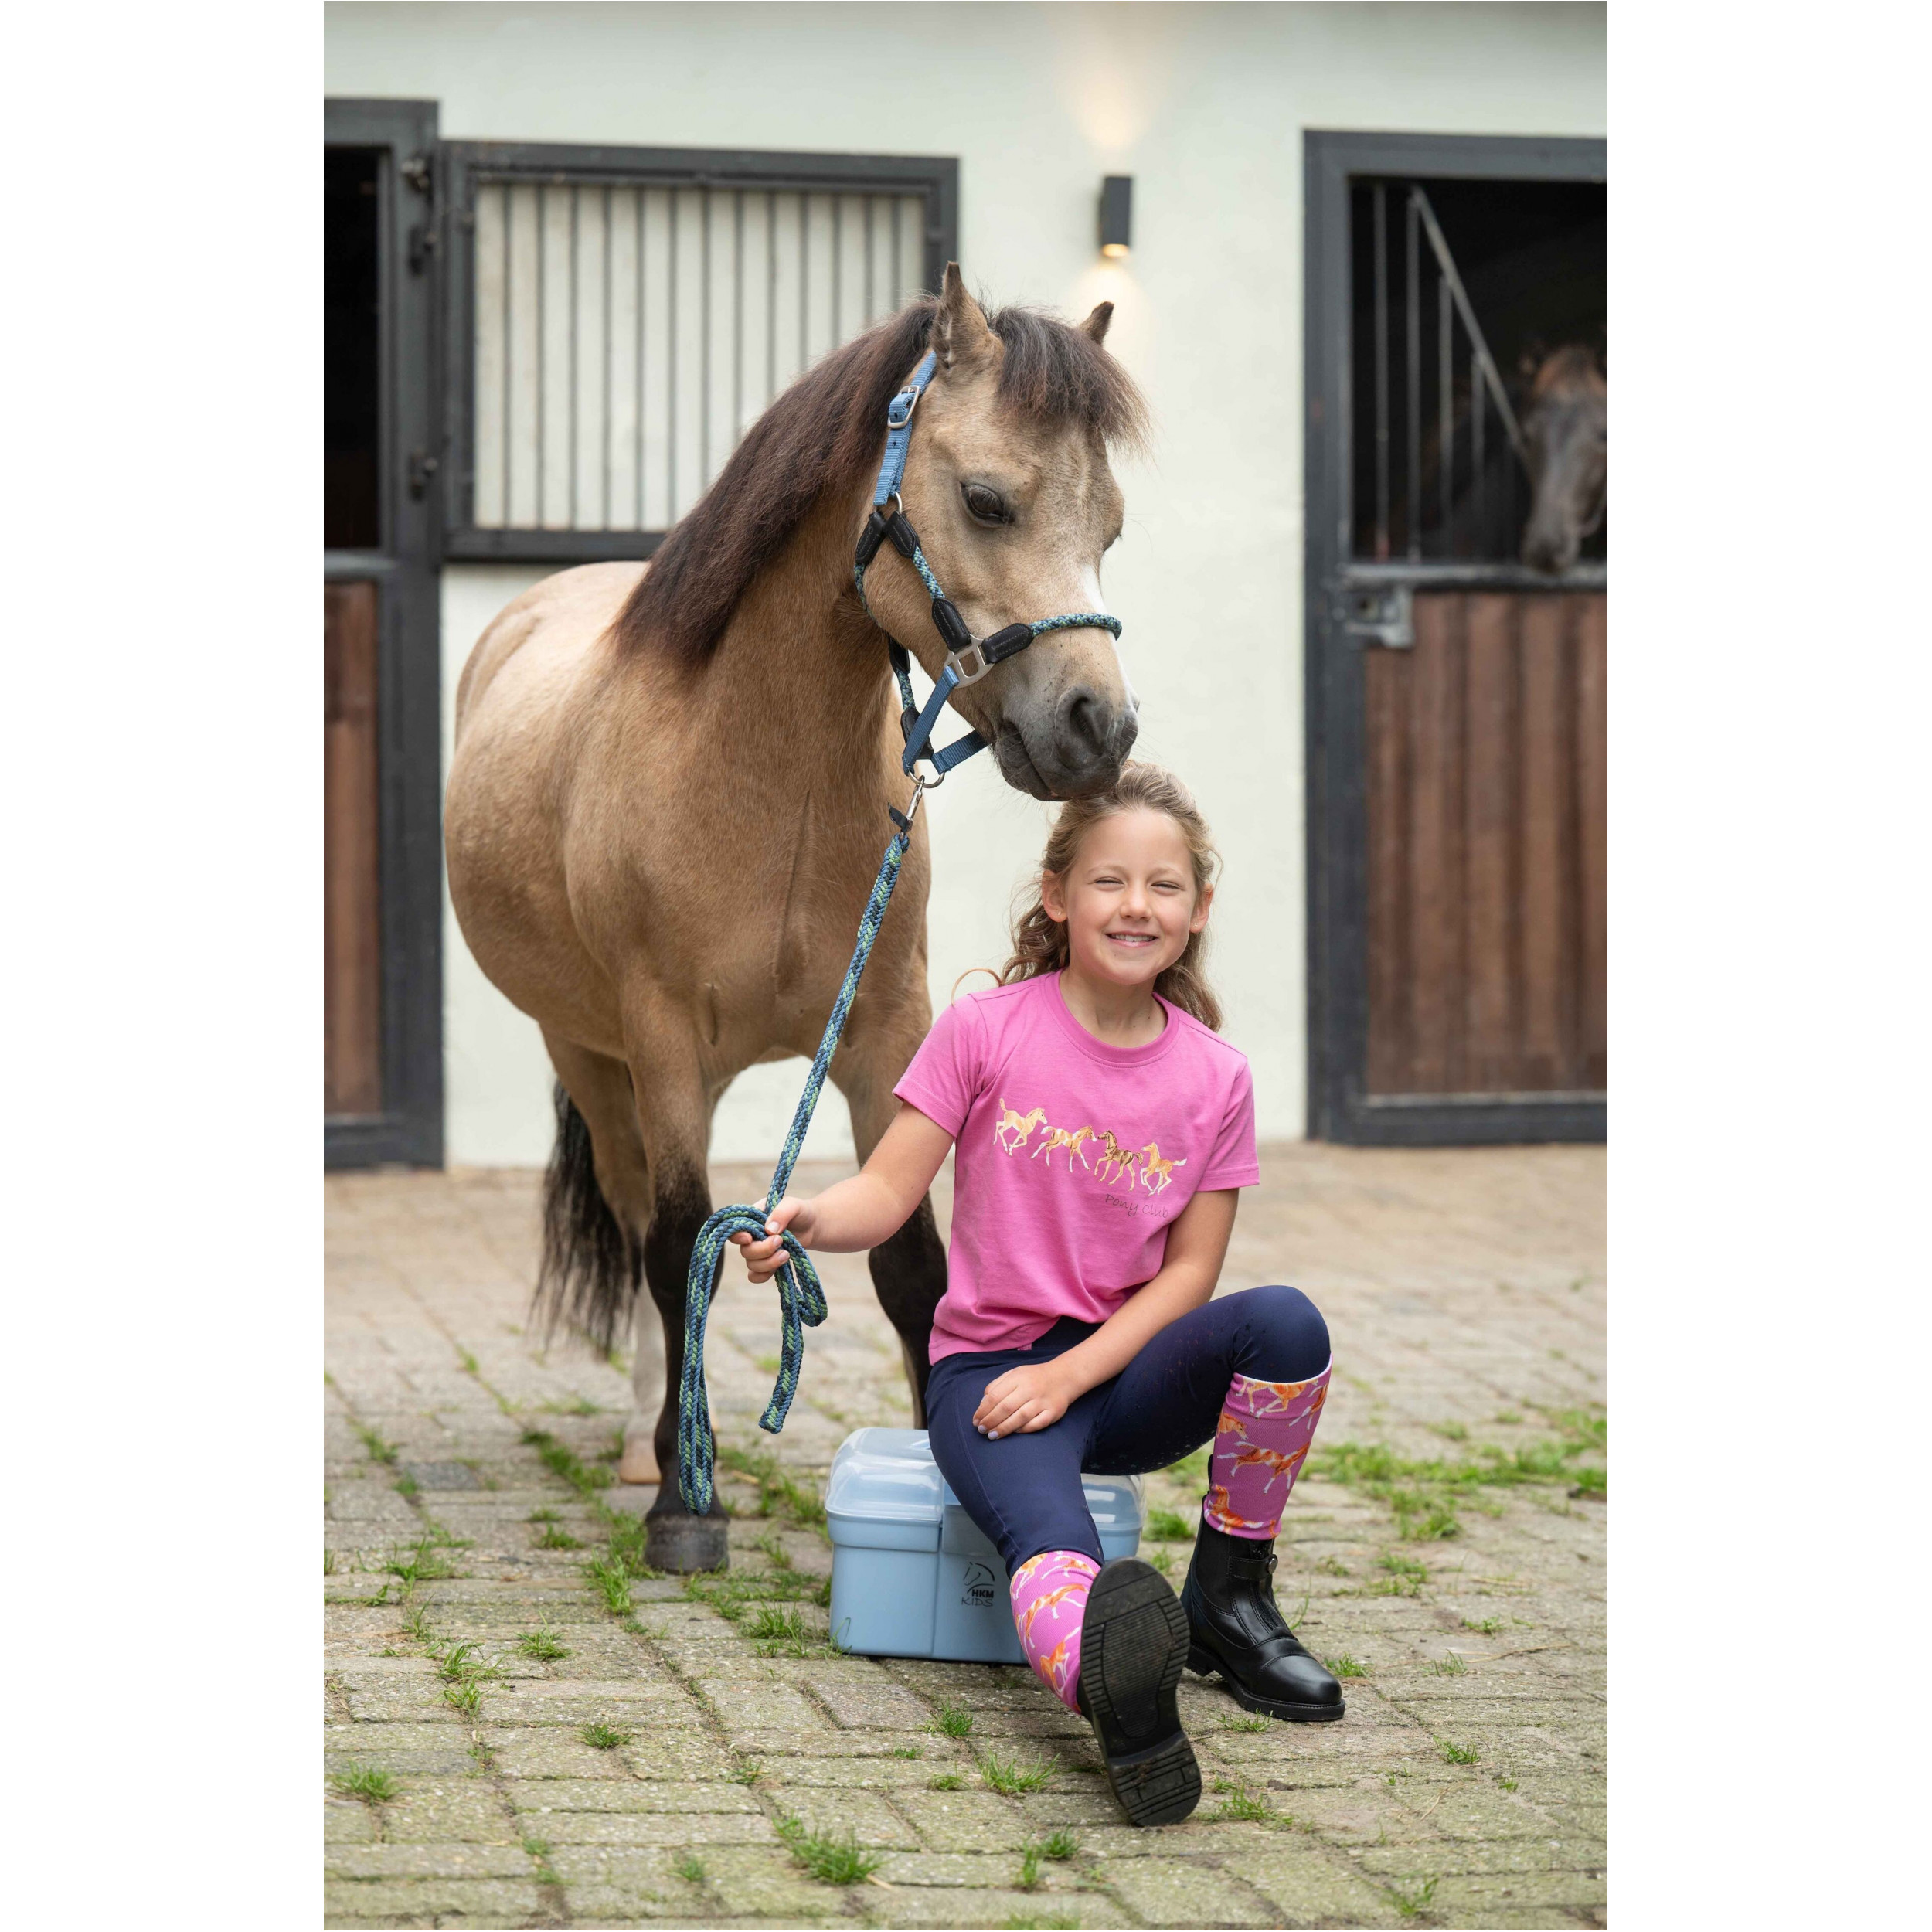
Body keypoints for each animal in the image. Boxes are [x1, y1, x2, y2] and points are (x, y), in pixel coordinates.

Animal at [444, 268, 1136, 1569]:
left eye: (1111, 525)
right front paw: (685, 1502)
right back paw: (648, 1444)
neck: (763, 780)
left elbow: (913, 1266)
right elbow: (680, 1248)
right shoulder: (661, 1040)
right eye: (986, 500)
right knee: (641, 1225)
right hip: (597, 1057)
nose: (1098, 729)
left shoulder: (884, 1036)